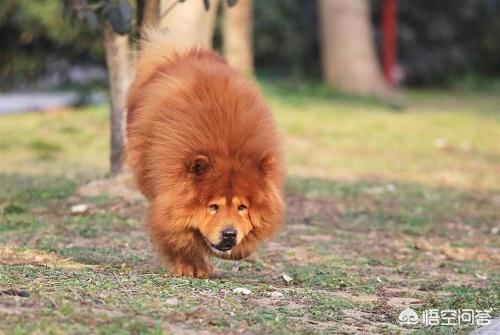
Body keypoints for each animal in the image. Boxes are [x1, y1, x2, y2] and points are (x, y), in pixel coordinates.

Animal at [125, 30, 286, 278]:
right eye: (213, 207)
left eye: (242, 207)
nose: (229, 234)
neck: (226, 148)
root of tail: (179, 55)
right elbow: (179, 233)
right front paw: (191, 266)